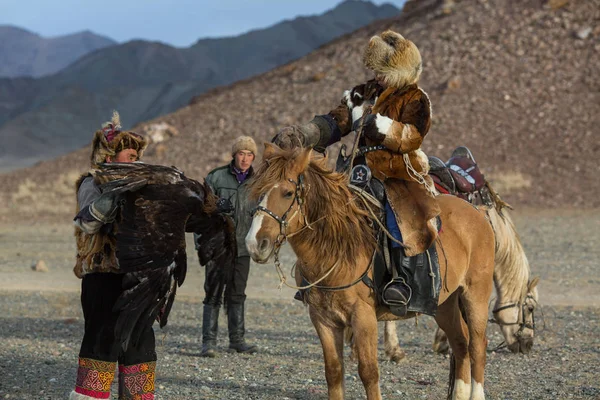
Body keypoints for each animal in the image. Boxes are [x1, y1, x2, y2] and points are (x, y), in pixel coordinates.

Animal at [246, 145, 494, 400]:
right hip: (444, 303)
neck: (338, 247)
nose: (255, 244)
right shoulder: (323, 319)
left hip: (476, 295)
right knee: (460, 344)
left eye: (287, 193)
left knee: (477, 346)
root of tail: (477, 212)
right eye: (258, 191)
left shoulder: (363, 316)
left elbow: (368, 371)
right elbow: (333, 372)